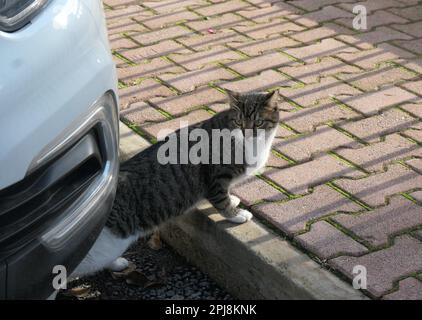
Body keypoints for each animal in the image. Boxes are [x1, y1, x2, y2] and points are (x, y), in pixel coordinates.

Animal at [71, 89, 278, 278]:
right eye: (239, 122)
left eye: (258, 123)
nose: (247, 132)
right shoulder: (216, 179)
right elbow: (222, 201)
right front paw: (237, 214)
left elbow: (227, 196)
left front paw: (234, 200)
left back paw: (117, 264)